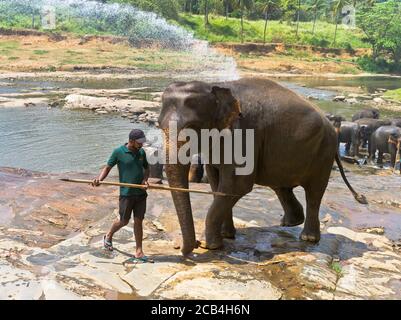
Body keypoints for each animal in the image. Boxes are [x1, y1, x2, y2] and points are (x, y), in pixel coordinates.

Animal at [157, 77, 366, 255]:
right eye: (159, 125)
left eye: (192, 128)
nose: (189, 247)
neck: (217, 85)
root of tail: (331, 126)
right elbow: (217, 184)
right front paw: (226, 236)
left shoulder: (243, 135)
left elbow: (236, 186)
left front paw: (212, 245)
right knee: (281, 187)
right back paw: (289, 223)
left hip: (323, 153)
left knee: (314, 192)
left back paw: (308, 238)